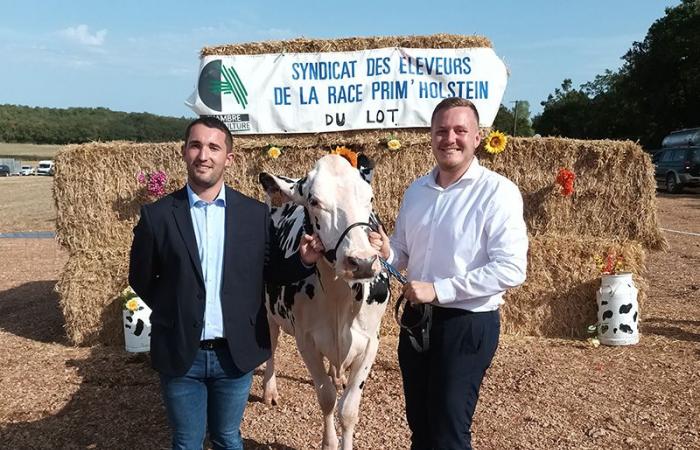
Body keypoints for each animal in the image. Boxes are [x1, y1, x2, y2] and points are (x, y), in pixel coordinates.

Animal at [258, 153, 388, 448]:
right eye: (315, 201)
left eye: (370, 197)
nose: (362, 261)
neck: (340, 299)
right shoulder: (306, 341)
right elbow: (327, 399)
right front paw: (329, 442)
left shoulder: (370, 342)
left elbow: (349, 408)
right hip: (268, 311)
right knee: (270, 346)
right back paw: (270, 390)